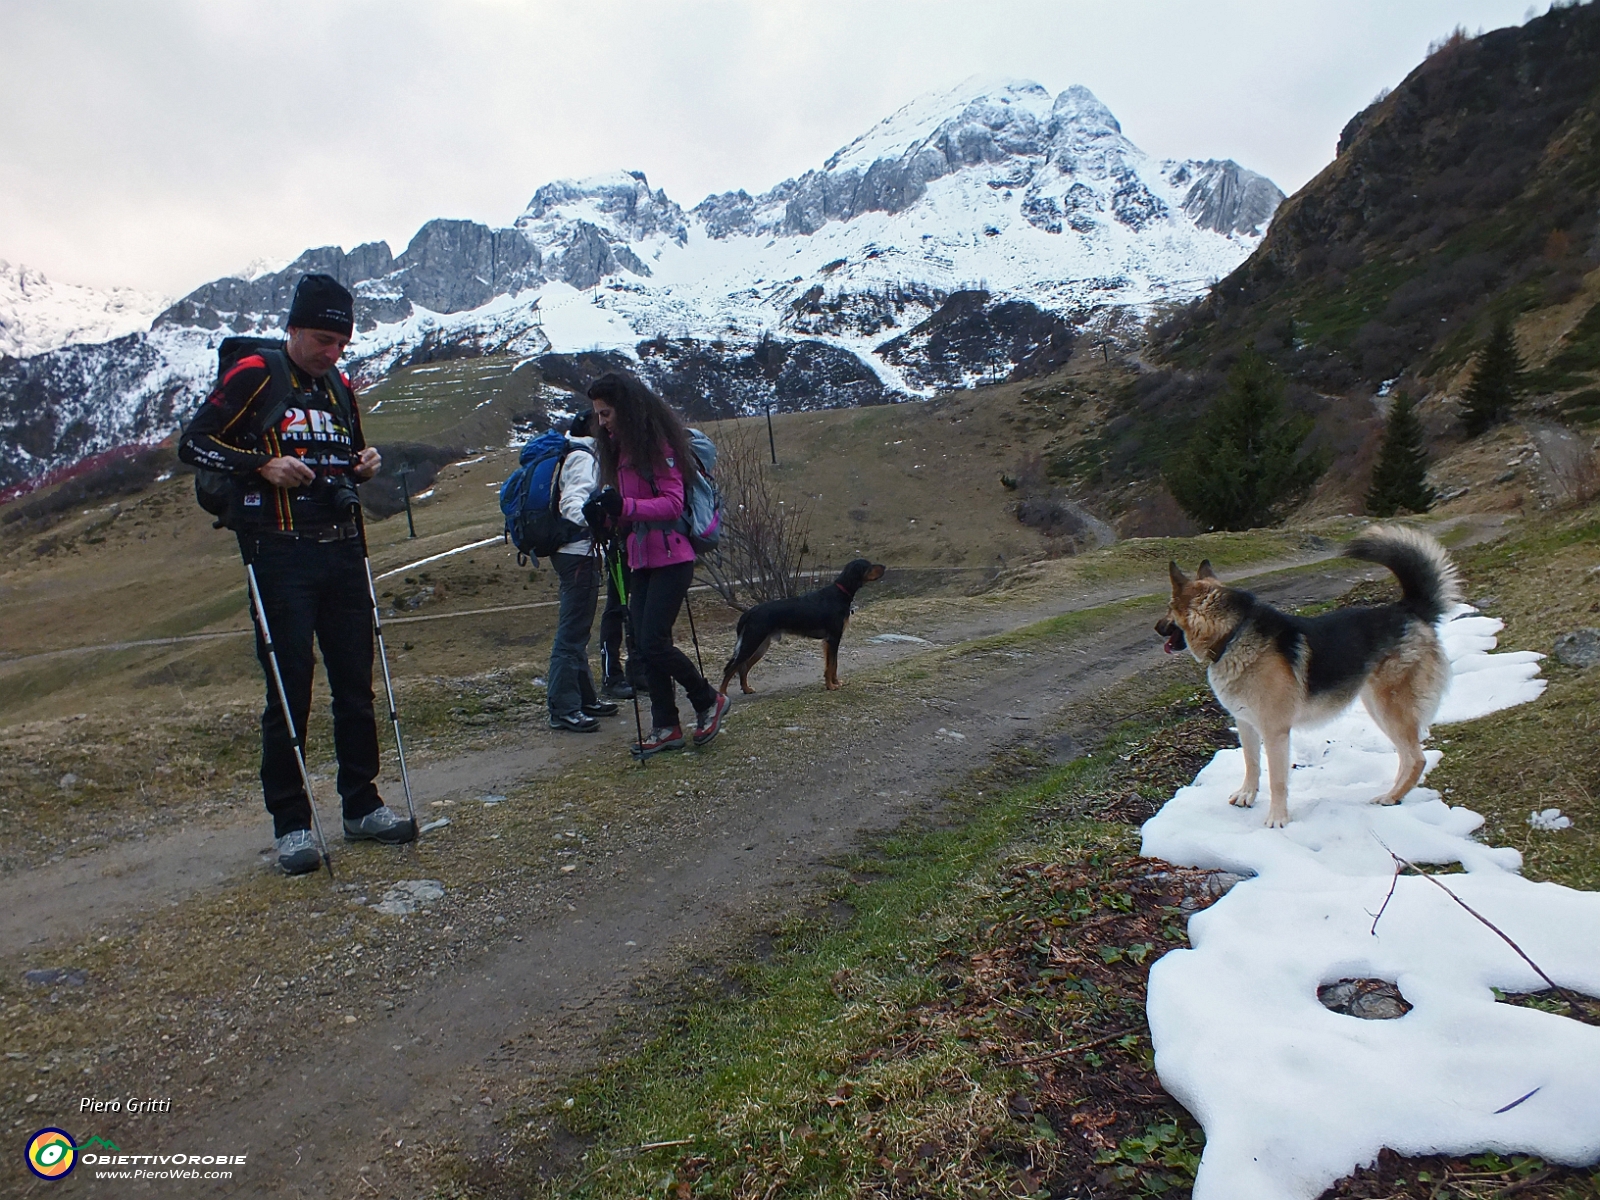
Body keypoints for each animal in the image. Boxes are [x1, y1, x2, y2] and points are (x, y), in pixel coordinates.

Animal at [723, 563, 889, 694]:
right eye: (868, 566)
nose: (884, 566)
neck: (839, 593)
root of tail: (749, 612)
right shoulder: (833, 638)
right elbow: (831, 665)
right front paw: (831, 686)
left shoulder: (830, 641)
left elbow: (833, 665)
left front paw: (835, 683)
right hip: (751, 643)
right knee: (731, 668)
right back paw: (723, 694)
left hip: (760, 646)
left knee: (742, 668)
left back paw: (746, 689)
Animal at [1152, 531, 1465, 832]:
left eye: (1168, 607)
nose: (1156, 628)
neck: (1232, 636)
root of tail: (1410, 610)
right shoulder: (1245, 723)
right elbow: (1251, 764)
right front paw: (1247, 796)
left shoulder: (1275, 732)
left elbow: (1277, 779)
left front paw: (1277, 819)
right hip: (1377, 706)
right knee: (1406, 756)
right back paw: (1393, 793)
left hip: (1389, 707)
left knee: (1417, 758)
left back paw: (1392, 796)